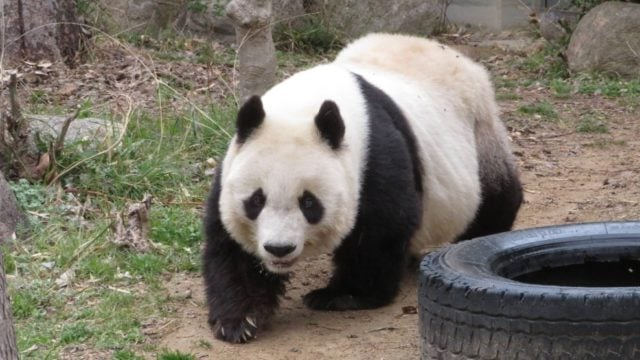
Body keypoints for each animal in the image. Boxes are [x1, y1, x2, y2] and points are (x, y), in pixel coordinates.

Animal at [202, 33, 524, 344]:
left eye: (309, 203)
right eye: (256, 200)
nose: (279, 249)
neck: (304, 106)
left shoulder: (374, 156)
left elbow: (378, 230)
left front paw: (342, 295)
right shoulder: (233, 165)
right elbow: (231, 247)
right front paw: (239, 321)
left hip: (481, 134)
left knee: (495, 198)